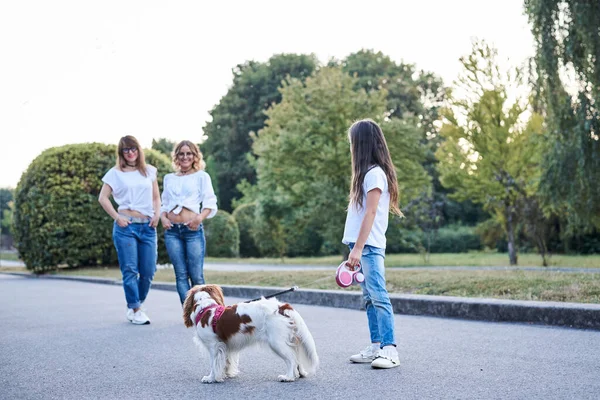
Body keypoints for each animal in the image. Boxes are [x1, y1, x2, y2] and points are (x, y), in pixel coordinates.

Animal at [184, 282, 318, 382]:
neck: (206, 308)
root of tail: (282, 307)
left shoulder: (214, 346)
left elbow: (213, 364)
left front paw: (211, 378)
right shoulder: (226, 345)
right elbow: (226, 362)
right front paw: (226, 374)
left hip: (277, 343)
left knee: (291, 359)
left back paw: (288, 377)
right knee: (297, 357)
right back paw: (300, 374)